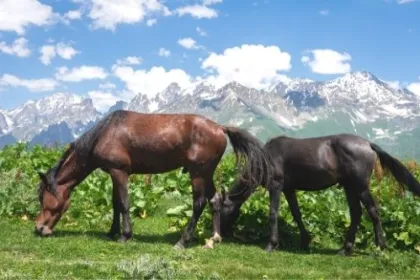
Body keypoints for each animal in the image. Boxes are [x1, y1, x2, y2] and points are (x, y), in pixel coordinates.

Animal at [32, 110, 270, 249]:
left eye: (44, 200)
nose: (39, 228)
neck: (106, 133)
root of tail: (220, 128)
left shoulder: (119, 172)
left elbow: (124, 203)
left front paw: (125, 235)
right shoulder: (113, 174)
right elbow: (115, 203)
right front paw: (112, 232)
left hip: (198, 174)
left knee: (199, 203)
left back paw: (182, 241)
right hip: (206, 174)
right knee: (215, 200)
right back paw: (214, 238)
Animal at [220, 135, 420, 255]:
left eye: (222, 210)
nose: (221, 234)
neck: (267, 157)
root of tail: (367, 144)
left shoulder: (276, 186)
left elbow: (273, 214)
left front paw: (272, 244)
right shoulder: (289, 189)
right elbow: (296, 214)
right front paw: (305, 241)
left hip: (361, 187)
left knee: (373, 211)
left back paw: (380, 246)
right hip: (350, 187)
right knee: (356, 214)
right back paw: (345, 249)